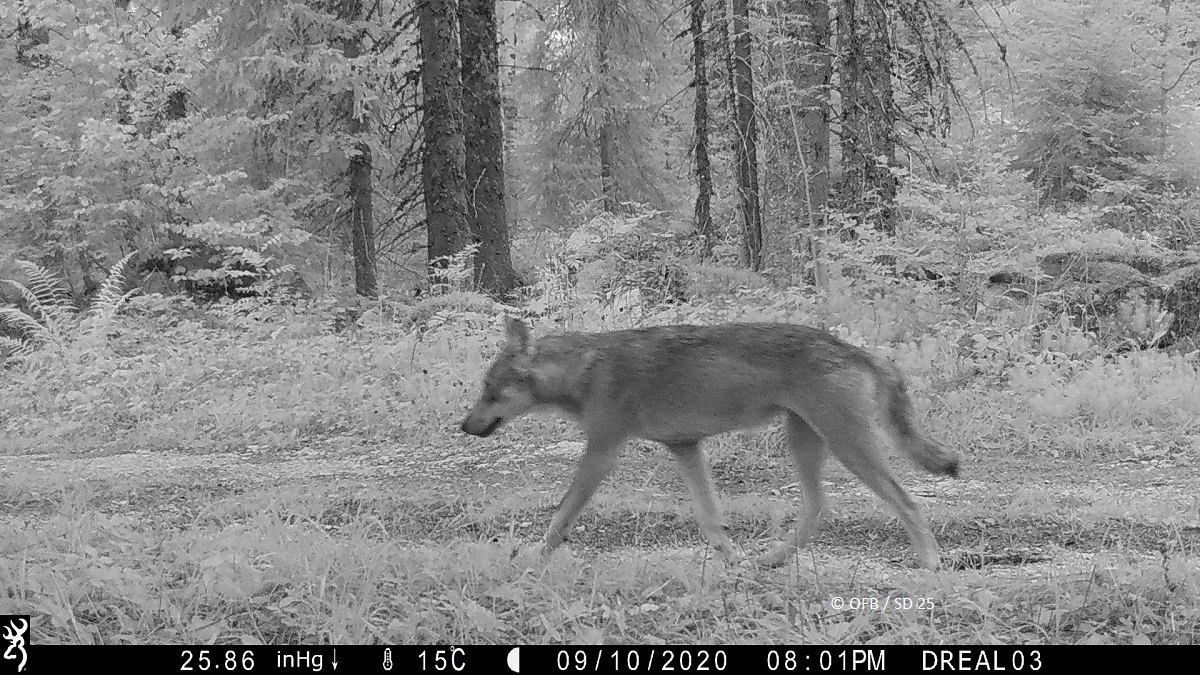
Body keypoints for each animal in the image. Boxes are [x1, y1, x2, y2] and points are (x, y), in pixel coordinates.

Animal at [458, 317, 955, 566]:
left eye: (490, 392)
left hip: (848, 447)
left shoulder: (601, 452)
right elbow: (710, 521)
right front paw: (731, 558)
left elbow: (559, 517)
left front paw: (531, 559)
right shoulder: (685, 446)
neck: (583, 370)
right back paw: (768, 561)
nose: (464, 425)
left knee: (908, 504)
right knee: (818, 507)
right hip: (807, 441)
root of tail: (861, 352)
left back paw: (930, 566)